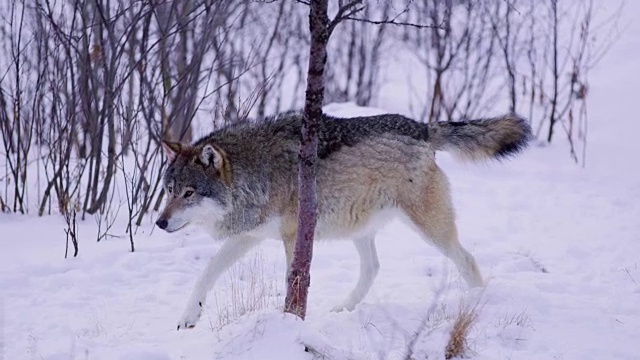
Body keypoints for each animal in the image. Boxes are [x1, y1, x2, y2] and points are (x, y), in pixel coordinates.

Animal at [158, 109, 532, 330]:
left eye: (189, 193)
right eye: (169, 189)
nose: (160, 223)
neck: (257, 171)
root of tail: (422, 127)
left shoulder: (292, 236)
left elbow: (293, 280)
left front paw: (290, 321)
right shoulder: (249, 235)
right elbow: (207, 273)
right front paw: (189, 317)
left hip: (429, 227)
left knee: (466, 259)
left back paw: (478, 301)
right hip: (360, 228)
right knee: (373, 268)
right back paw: (344, 310)